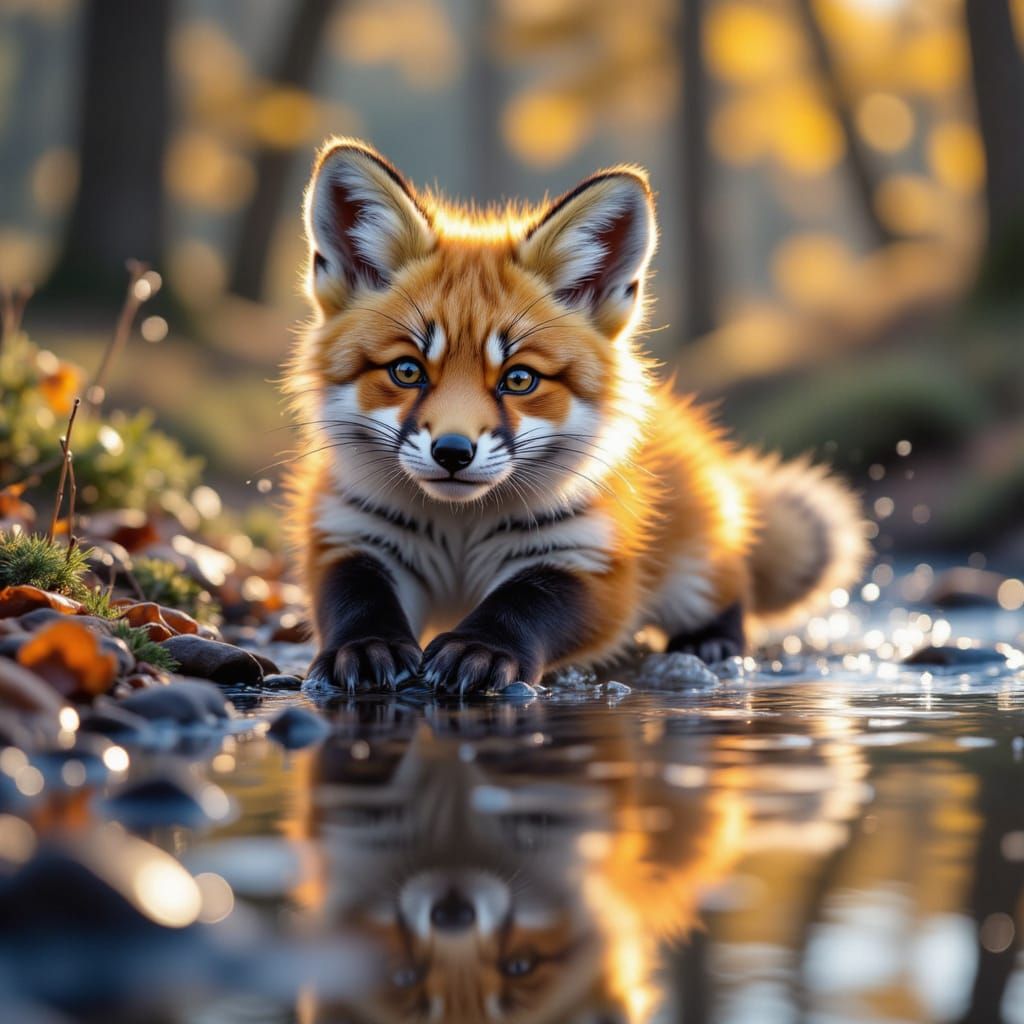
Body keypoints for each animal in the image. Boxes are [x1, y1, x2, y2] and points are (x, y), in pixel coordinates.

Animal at [286, 138, 868, 695]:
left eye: (520, 379)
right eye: (407, 371)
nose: (452, 452)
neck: (460, 533)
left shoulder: (592, 559)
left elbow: (522, 606)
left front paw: (481, 650)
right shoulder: (353, 535)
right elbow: (357, 601)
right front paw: (365, 648)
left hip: (695, 573)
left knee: (733, 590)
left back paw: (710, 643)